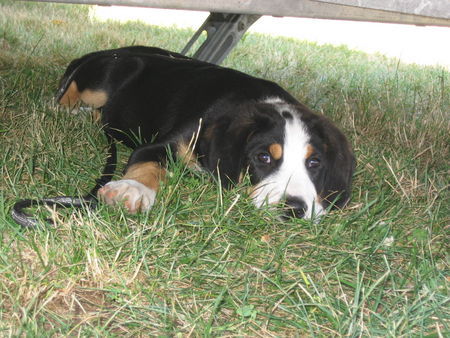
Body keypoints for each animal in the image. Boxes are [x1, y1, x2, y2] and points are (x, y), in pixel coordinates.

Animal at [57, 45, 356, 219]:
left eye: (314, 162)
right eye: (263, 158)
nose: (294, 208)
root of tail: (114, 50)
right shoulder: (160, 145)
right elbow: (148, 165)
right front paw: (132, 189)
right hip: (104, 79)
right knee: (71, 91)